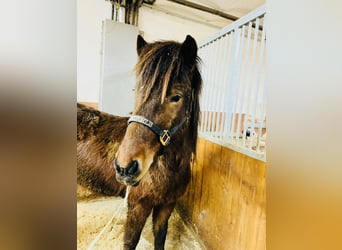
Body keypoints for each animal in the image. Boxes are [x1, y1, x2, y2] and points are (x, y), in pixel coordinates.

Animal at [76, 35, 202, 250]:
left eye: (176, 97)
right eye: (136, 91)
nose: (125, 167)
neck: (167, 167)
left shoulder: (166, 205)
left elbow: (160, 237)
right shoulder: (138, 206)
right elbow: (130, 242)